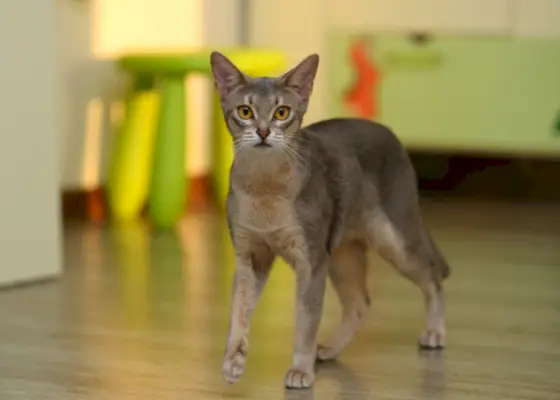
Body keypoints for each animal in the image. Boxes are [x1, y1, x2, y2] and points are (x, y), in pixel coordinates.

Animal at [210, 51, 450, 390]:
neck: (265, 188)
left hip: (394, 239)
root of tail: (388, 131)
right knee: (360, 302)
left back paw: (434, 332)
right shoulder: (250, 255)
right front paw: (233, 362)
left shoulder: (311, 259)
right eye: (245, 111)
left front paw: (300, 370)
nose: (263, 132)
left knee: (432, 276)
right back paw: (330, 350)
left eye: (282, 112)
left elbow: (306, 321)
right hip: (341, 252)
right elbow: (238, 312)